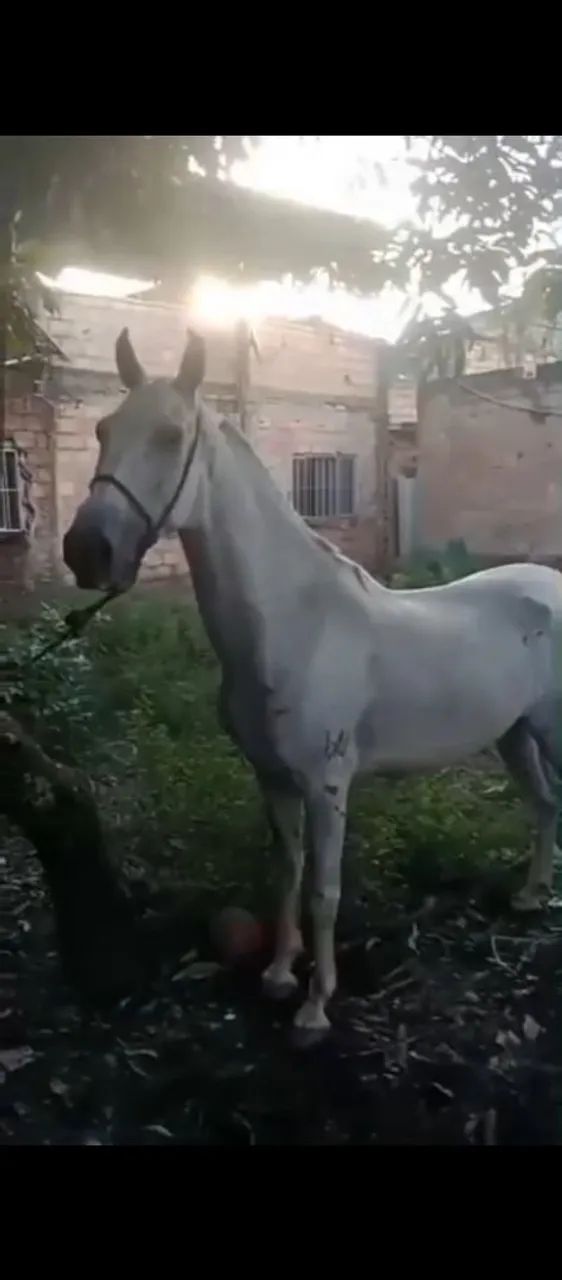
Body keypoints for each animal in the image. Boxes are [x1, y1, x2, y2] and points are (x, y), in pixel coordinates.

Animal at [63, 328, 562, 1044]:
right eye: (103, 429)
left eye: (169, 434)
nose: (87, 551)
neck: (296, 624)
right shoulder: (273, 779)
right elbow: (288, 872)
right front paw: (277, 975)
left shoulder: (328, 786)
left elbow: (325, 892)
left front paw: (315, 1007)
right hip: (515, 736)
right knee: (544, 807)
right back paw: (528, 896)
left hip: (549, 730)